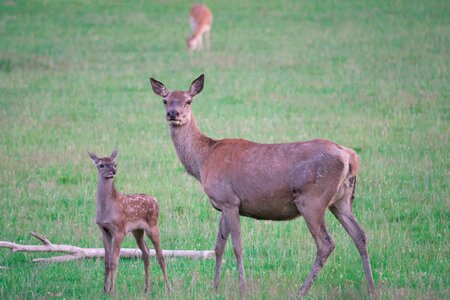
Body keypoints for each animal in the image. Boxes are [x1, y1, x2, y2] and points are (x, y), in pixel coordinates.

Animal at [87, 149, 171, 294]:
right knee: (146, 252)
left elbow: (114, 261)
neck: (107, 209)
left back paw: (169, 288)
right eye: (101, 165)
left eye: (115, 164)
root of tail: (156, 200)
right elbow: (106, 261)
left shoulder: (119, 230)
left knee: (160, 255)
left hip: (153, 225)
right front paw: (104, 290)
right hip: (138, 231)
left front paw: (112, 291)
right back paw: (146, 288)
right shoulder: (104, 230)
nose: (112, 171)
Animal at [149, 74, 376, 296]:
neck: (203, 161)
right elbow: (218, 246)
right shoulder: (222, 203)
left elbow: (237, 246)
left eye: (189, 100)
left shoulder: (229, 200)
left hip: (312, 200)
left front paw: (243, 289)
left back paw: (301, 291)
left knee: (326, 244)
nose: (173, 113)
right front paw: (214, 288)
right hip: (341, 199)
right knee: (360, 235)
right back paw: (372, 289)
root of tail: (350, 156)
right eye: (165, 100)